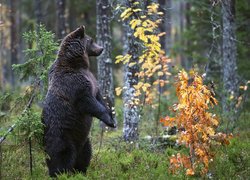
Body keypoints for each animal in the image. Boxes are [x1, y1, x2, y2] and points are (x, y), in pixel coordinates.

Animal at [42, 25, 116, 177]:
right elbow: (89, 102)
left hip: (84, 140)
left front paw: (112, 117)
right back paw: (61, 173)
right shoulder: (74, 85)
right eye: (91, 40)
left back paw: (81, 171)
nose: (101, 48)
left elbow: (99, 98)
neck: (77, 64)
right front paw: (109, 120)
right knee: (62, 155)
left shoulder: (93, 82)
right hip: (62, 136)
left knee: (86, 154)